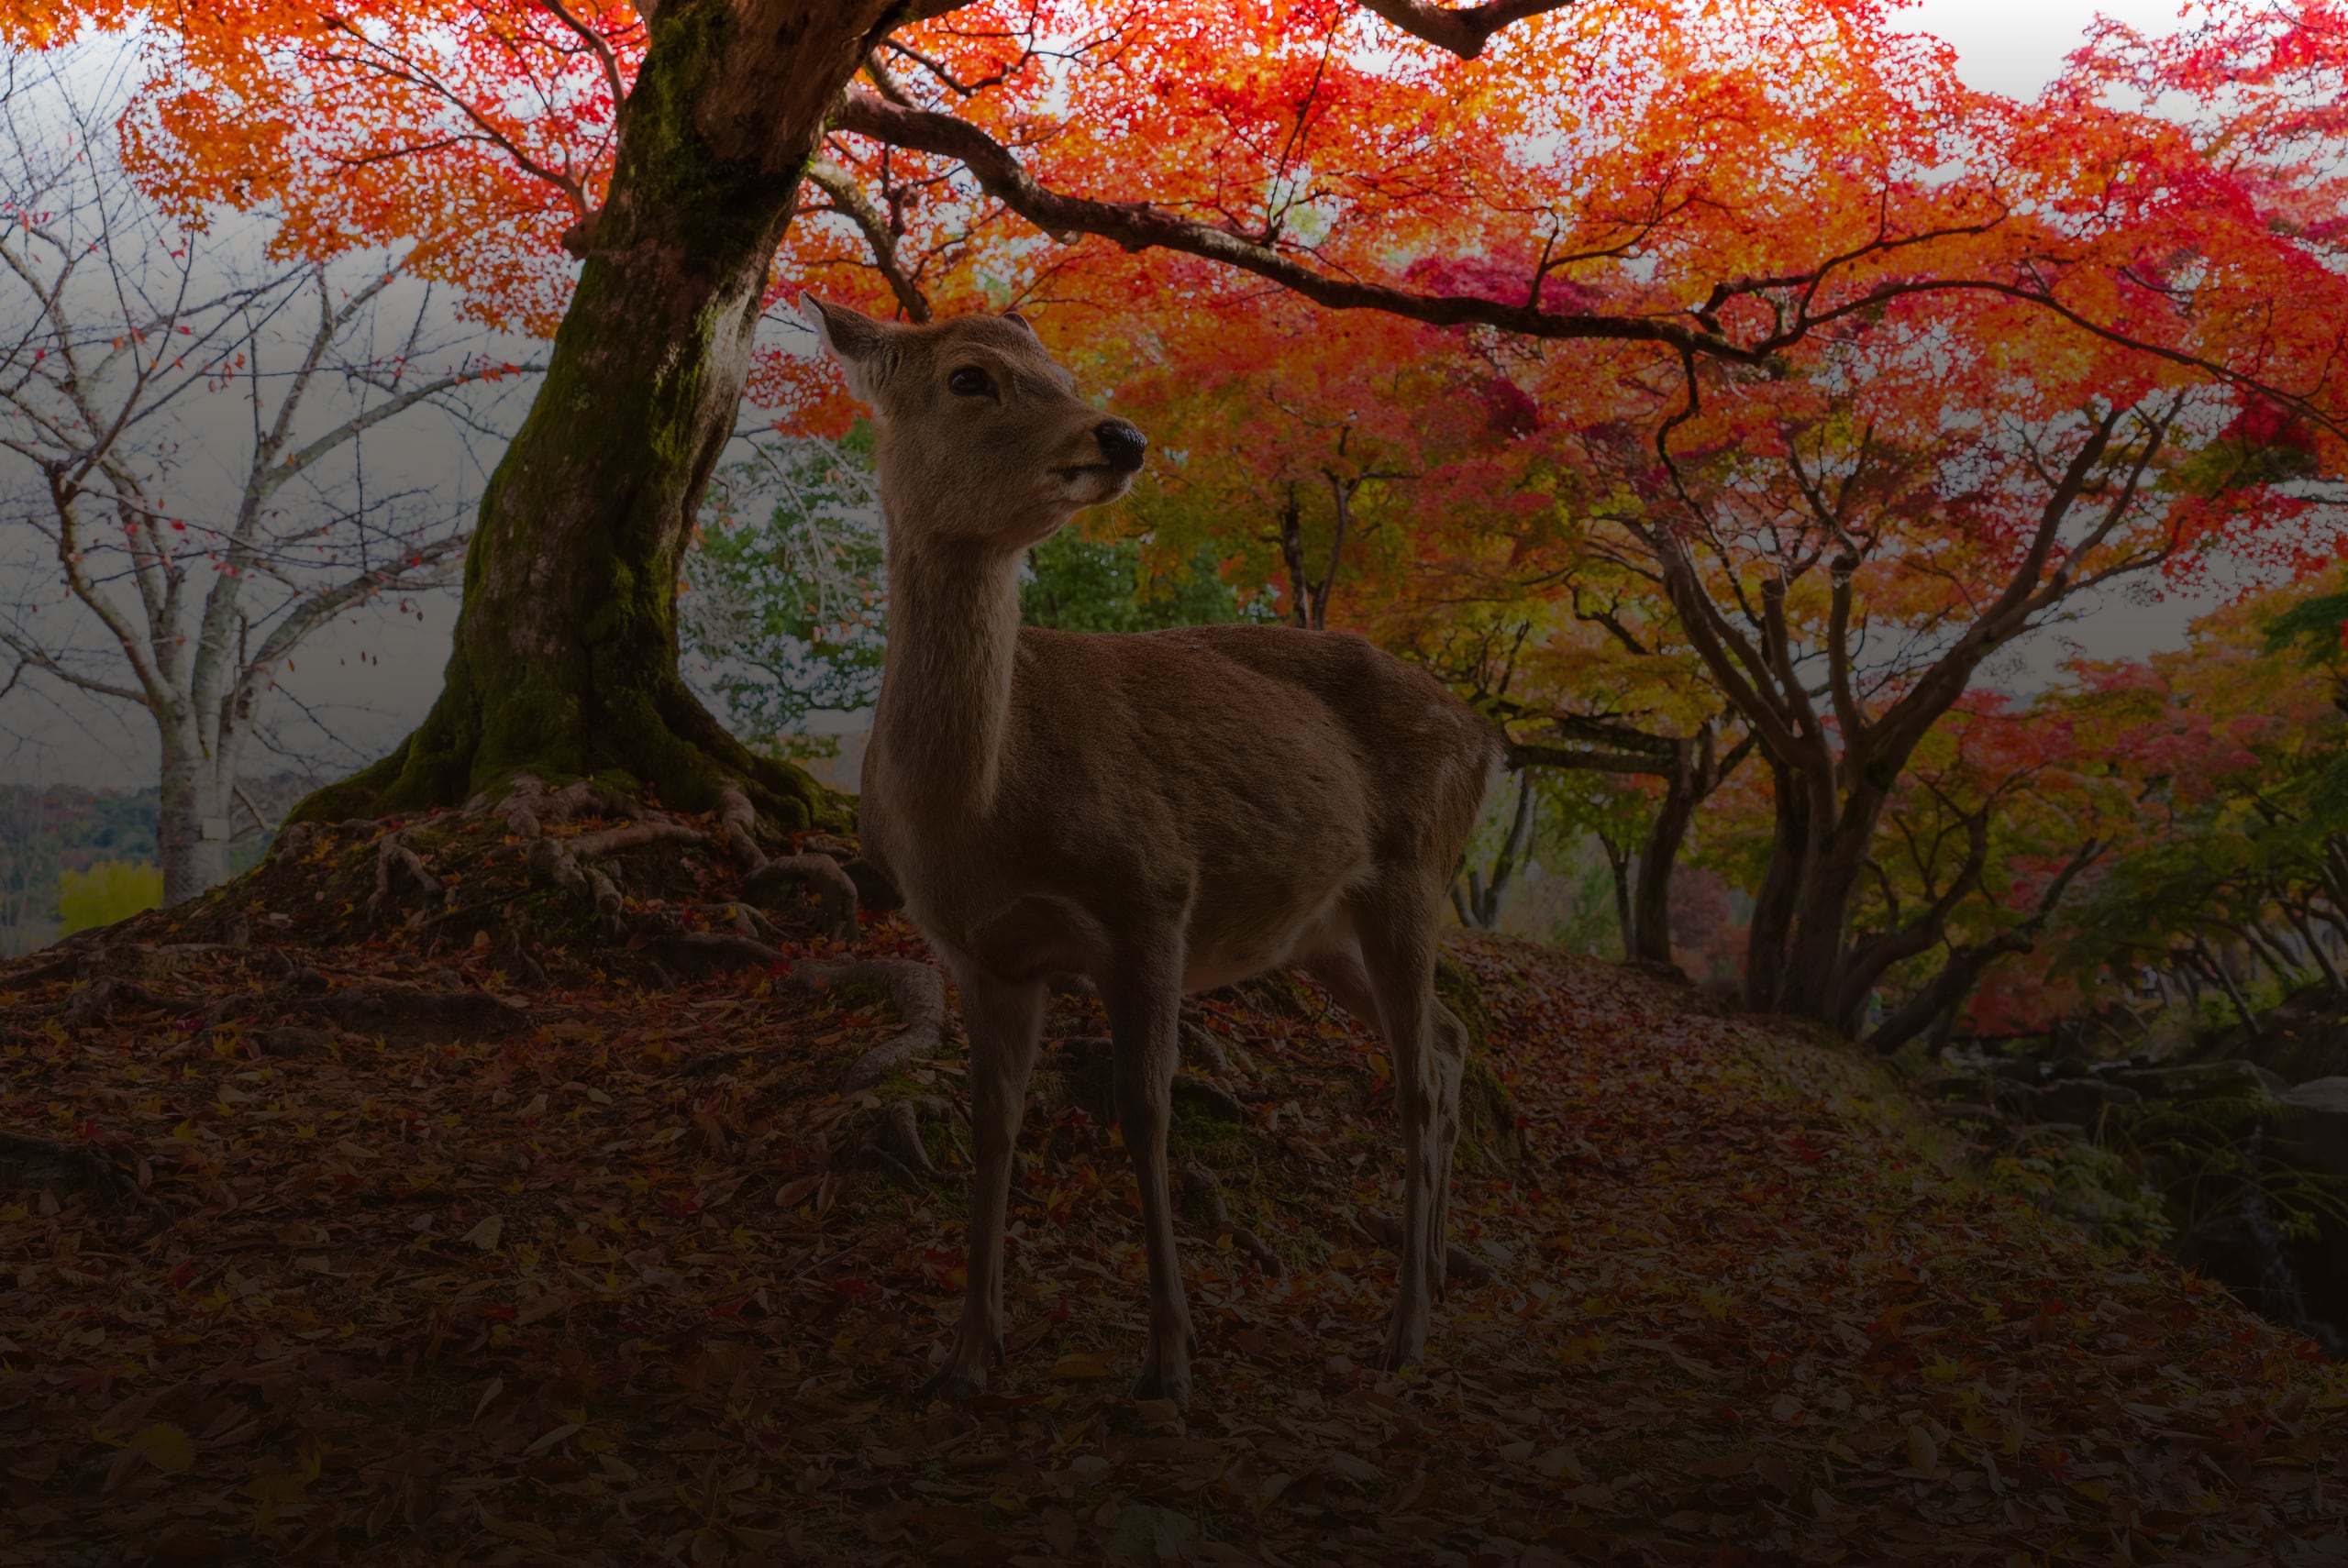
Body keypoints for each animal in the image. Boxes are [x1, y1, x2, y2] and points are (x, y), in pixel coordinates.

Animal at [799, 295, 1502, 1411]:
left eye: (1056, 366)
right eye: (970, 376)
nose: (1120, 436)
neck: (982, 814)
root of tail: (1485, 737)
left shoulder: (1153, 899)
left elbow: (1144, 1112)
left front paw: (1170, 1360)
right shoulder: (975, 954)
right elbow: (995, 1120)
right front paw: (967, 1352)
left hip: (1413, 876)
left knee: (1418, 1079)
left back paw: (1406, 1331)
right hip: (1324, 933)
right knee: (1448, 1037)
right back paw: (1429, 1280)